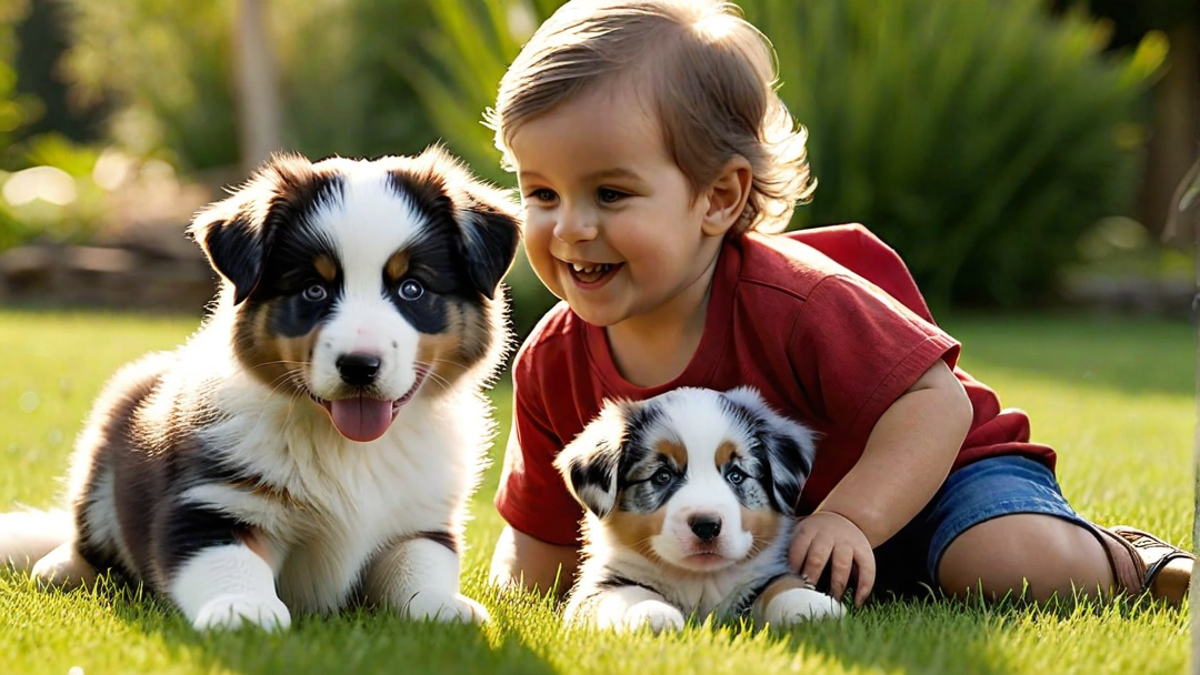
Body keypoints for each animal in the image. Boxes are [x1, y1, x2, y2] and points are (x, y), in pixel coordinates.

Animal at [0, 144, 518, 629]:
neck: (347, 448)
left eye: (412, 289)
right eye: (313, 289)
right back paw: (59, 566)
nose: (359, 366)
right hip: (108, 436)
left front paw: (443, 606)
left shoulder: (420, 519)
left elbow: (421, 565)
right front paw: (242, 610)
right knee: (87, 537)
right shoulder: (212, 502)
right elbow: (227, 562)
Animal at [552, 384, 844, 629]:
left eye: (736, 475)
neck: (699, 580)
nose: (706, 526)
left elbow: (781, 585)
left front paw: (814, 605)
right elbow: (625, 594)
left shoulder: (762, 576)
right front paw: (652, 612)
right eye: (662, 476)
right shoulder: (597, 587)